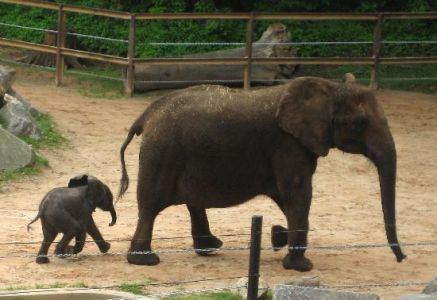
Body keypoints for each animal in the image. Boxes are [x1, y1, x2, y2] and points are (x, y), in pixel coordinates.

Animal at [118, 75, 406, 272]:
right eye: (360, 123)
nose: (402, 258)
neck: (330, 88)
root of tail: (145, 115)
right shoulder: (288, 144)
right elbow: (298, 193)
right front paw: (301, 266)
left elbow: (290, 198)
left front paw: (278, 236)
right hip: (163, 152)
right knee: (151, 205)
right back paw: (146, 260)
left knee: (190, 202)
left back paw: (210, 248)